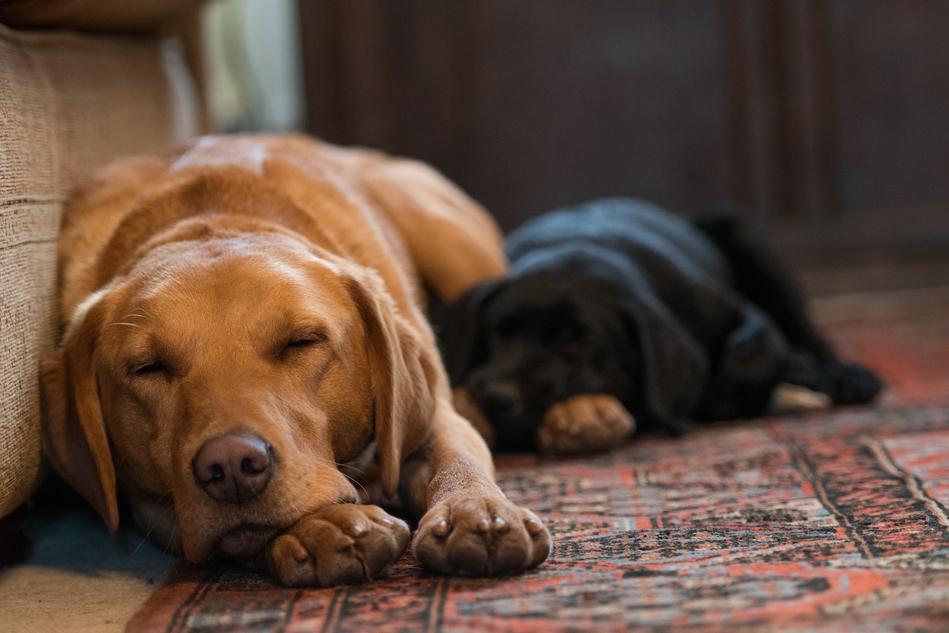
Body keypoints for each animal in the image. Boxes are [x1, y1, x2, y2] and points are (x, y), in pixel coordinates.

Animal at [42, 136, 548, 584]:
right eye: (148, 367)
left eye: (301, 342)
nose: (231, 467)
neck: (211, 218)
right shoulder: (147, 502)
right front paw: (322, 528)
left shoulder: (425, 411)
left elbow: (456, 453)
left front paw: (476, 511)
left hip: (452, 248)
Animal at [440, 200, 884, 452]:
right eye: (498, 331)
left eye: (574, 344)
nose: (497, 396)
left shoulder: (741, 314)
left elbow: (748, 353)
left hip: (746, 235)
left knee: (810, 335)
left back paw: (842, 375)